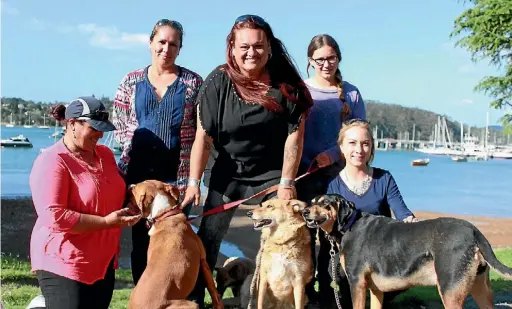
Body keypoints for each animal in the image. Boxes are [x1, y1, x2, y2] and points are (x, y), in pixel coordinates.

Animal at [127, 179, 223, 308]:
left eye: (135, 188)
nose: (129, 186)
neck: (164, 215)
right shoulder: (203, 261)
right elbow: (213, 291)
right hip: (191, 305)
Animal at [300, 192, 512, 308]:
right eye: (312, 201)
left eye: (325, 203)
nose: (304, 211)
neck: (349, 224)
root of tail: (473, 229)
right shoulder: (375, 289)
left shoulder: (356, 282)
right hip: (480, 289)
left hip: (450, 290)